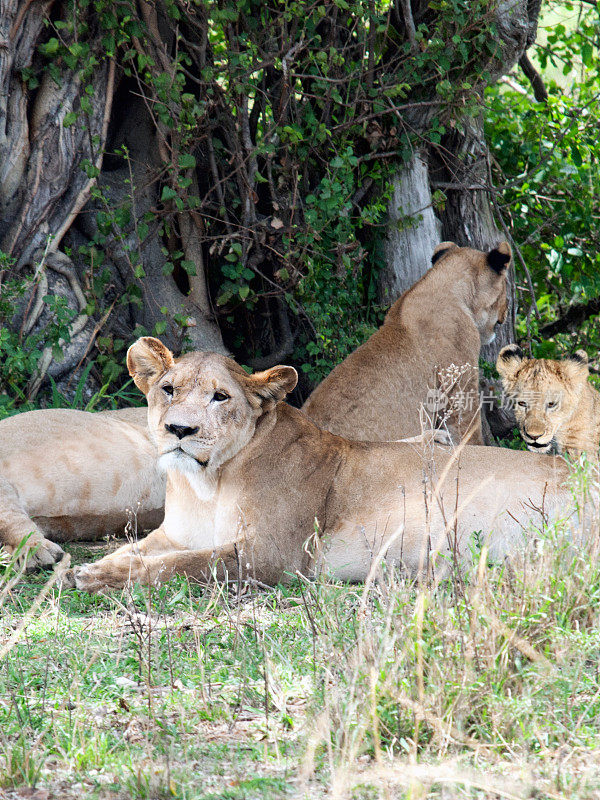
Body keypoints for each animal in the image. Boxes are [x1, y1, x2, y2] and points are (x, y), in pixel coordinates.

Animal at [70, 334, 572, 592]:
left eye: (220, 397)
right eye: (168, 389)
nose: (179, 430)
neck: (206, 484)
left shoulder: (270, 555)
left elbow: (180, 565)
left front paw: (103, 576)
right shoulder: (173, 534)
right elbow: (139, 550)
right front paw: (88, 567)